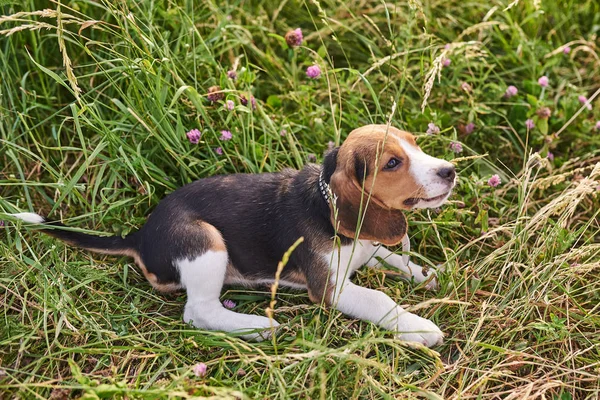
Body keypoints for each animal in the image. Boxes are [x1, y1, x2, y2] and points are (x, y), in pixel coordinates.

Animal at [12, 124, 454, 346]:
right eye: (393, 163)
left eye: (416, 145)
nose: (449, 170)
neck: (325, 203)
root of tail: (140, 235)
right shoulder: (330, 288)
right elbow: (379, 298)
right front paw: (418, 328)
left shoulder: (366, 246)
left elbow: (389, 255)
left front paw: (423, 274)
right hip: (205, 242)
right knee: (198, 312)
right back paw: (257, 326)